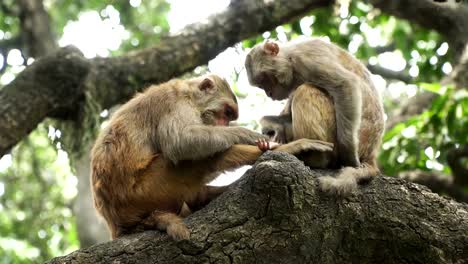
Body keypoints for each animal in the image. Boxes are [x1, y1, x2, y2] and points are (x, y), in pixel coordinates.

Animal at [91, 74, 332, 241]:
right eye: (226, 112)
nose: (224, 125)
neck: (189, 94)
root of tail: (114, 221)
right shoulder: (174, 102)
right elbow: (180, 142)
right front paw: (250, 135)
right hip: (145, 189)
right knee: (201, 158)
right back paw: (288, 149)